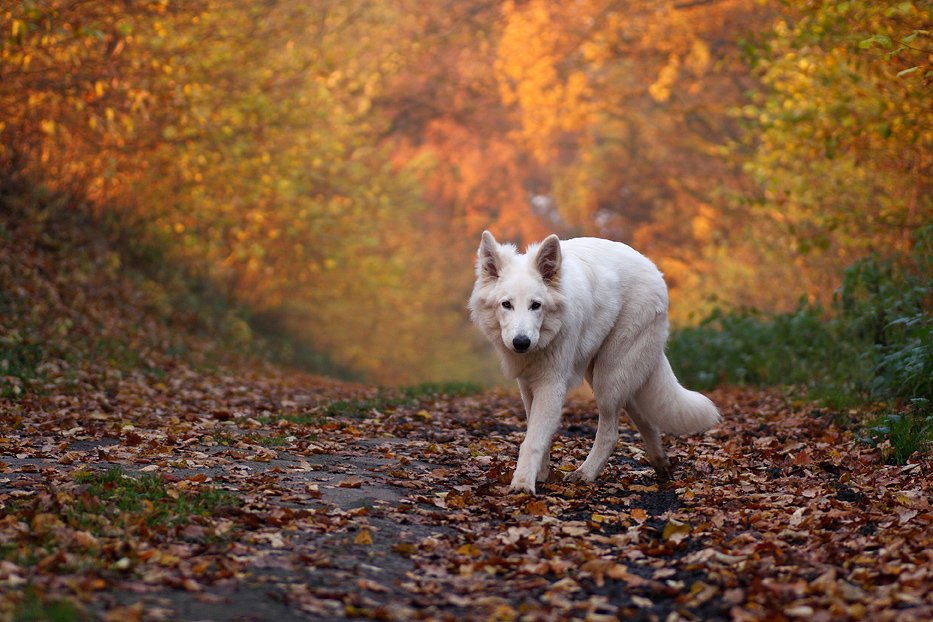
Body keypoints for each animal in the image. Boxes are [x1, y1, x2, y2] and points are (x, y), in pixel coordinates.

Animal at [466, 232, 720, 494]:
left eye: (535, 305)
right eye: (507, 304)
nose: (521, 342)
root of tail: (653, 268)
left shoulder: (551, 384)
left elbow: (533, 439)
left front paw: (523, 484)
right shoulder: (528, 385)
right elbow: (537, 432)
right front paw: (541, 474)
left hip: (608, 378)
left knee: (611, 433)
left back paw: (585, 473)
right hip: (605, 374)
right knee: (643, 419)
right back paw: (661, 464)